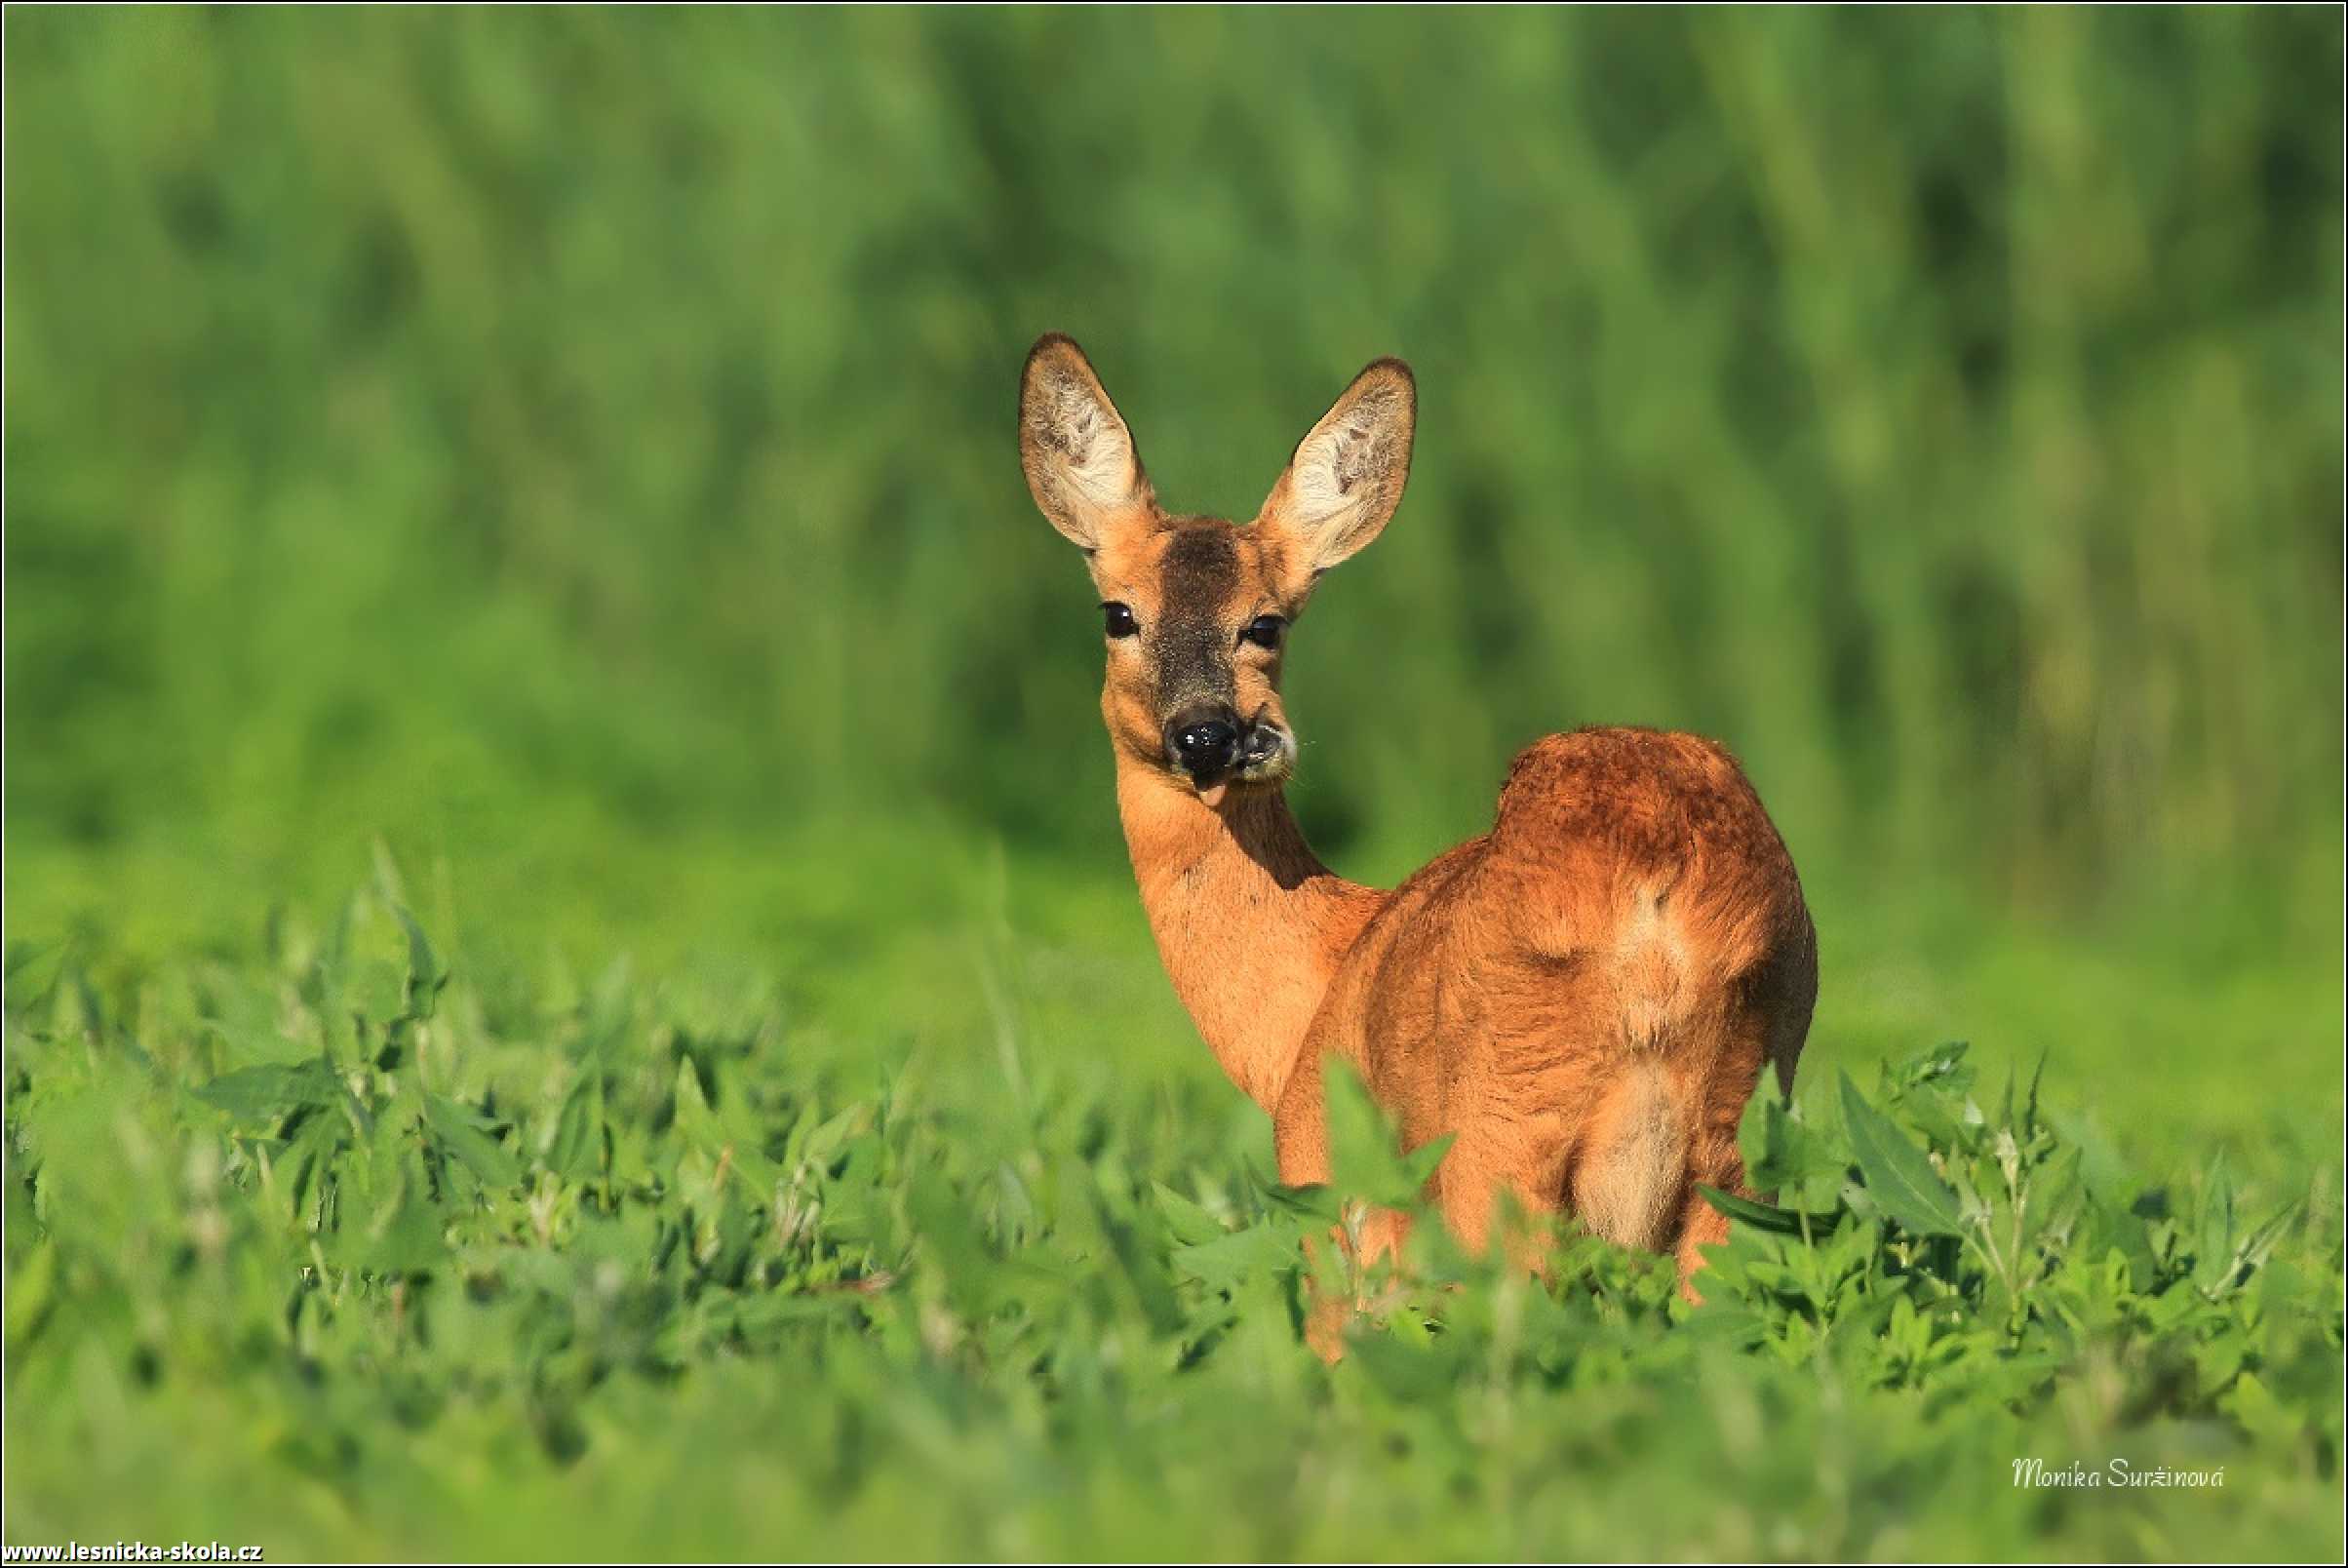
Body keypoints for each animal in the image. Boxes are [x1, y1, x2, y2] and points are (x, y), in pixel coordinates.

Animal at [1014, 333, 1812, 1314]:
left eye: (1265, 624)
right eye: (1118, 612)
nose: (1206, 734)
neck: (1309, 994)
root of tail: (1664, 907)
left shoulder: (1326, 1178)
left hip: (1499, 1136)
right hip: (1744, 1139)